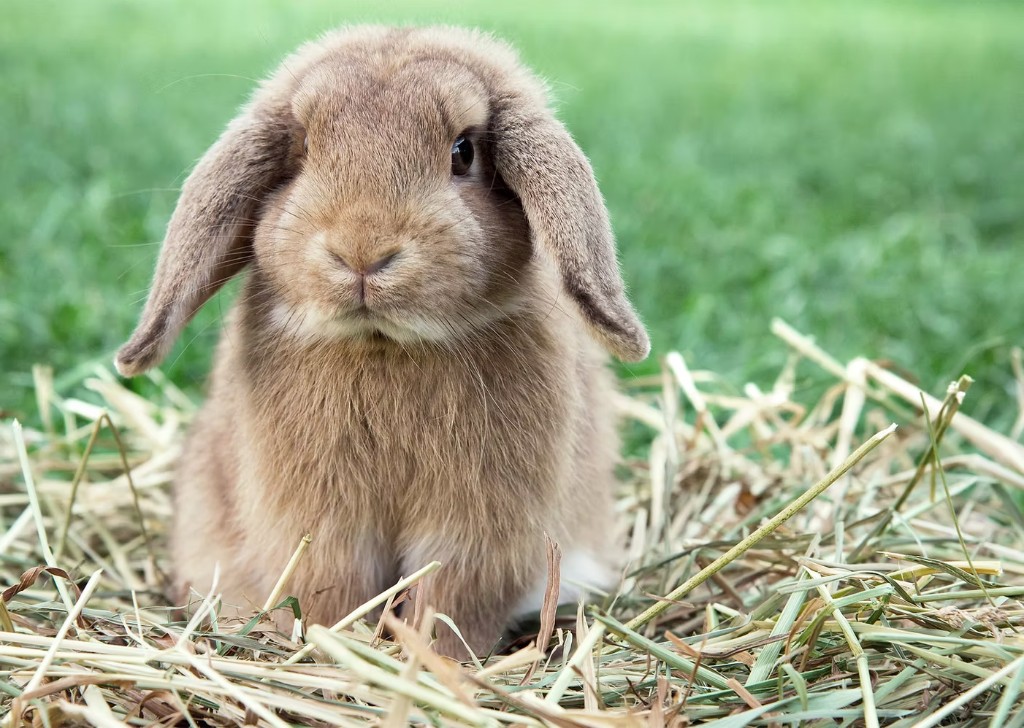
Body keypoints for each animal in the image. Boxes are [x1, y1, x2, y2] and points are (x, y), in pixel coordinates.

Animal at [115, 25, 649, 658]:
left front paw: (432, 659)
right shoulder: (323, 526)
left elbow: (448, 601)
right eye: (303, 149)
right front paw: (336, 647)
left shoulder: (477, 531)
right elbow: (332, 591)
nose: (362, 252)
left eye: (463, 151)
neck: (384, 345)